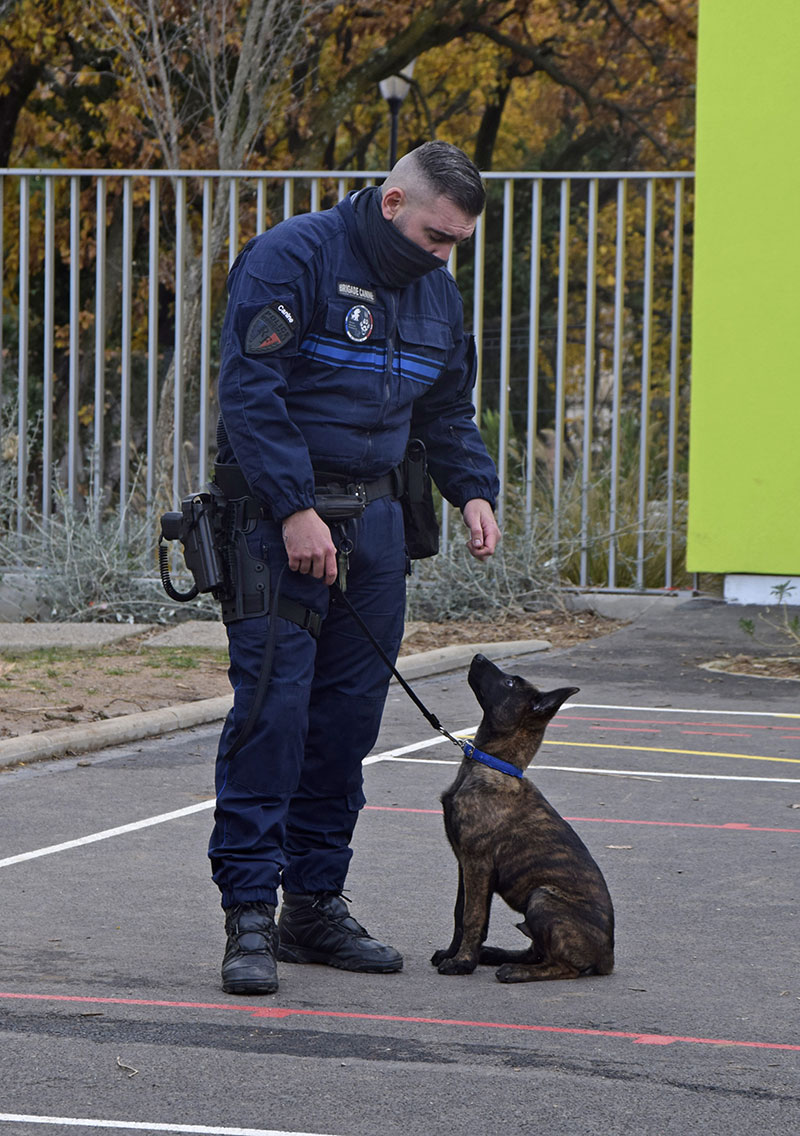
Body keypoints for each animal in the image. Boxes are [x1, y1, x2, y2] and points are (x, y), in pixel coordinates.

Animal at [431, 654, 613, 981]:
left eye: (509, 683)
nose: (478, 655)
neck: (494, 764)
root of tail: (609, 959)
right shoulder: (465, 864)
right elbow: (460, 914)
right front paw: (455, 954)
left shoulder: (477, 863)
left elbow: (473, 916)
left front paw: (462, 962)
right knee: (537, 951)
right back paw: (497, 955)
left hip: (541, 897)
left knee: (564, 967)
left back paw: (514, 971)